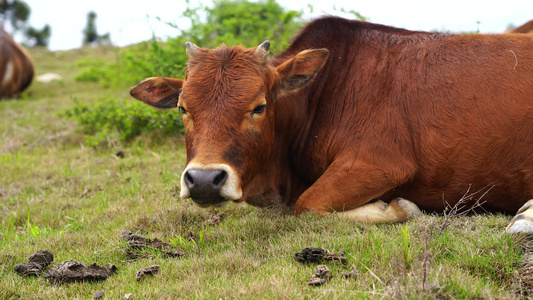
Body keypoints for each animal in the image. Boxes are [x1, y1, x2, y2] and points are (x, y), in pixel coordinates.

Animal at [130, 15, 532, 232]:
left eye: (259, 107)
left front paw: (398, 208)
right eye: (182, 108)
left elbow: (307, 204)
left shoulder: (380, 164)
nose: (203, 180)